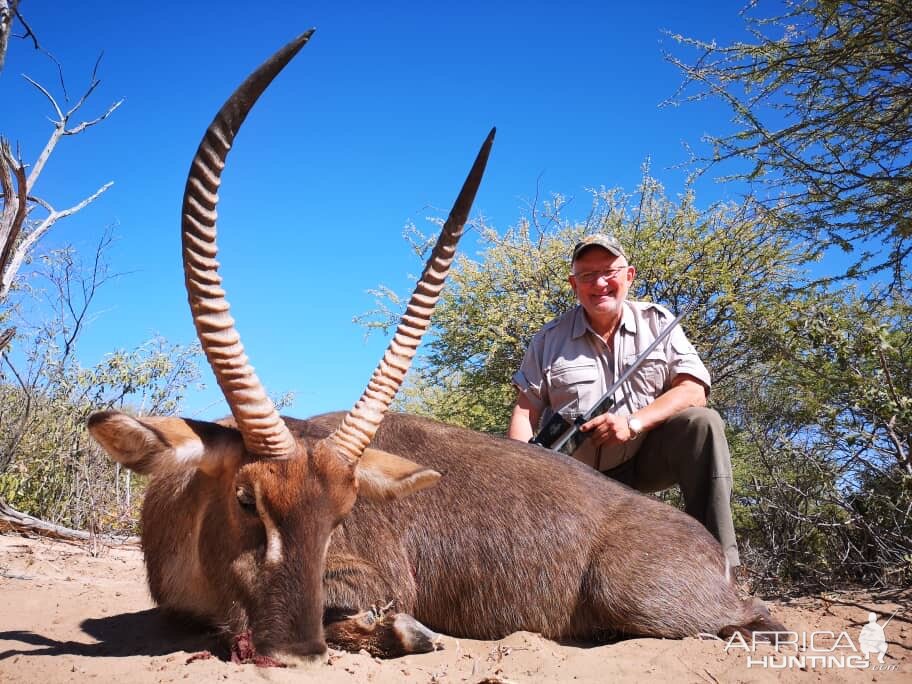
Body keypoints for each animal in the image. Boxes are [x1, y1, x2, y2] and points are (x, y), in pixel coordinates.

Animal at [87, 29, 784, 664]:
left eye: (341, 513)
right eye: (245, 499)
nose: (293, 651)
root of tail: (708, 551)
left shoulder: (374, 577)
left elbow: (379, 615)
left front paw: (401, 631)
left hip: (644, 598)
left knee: (757, 618)